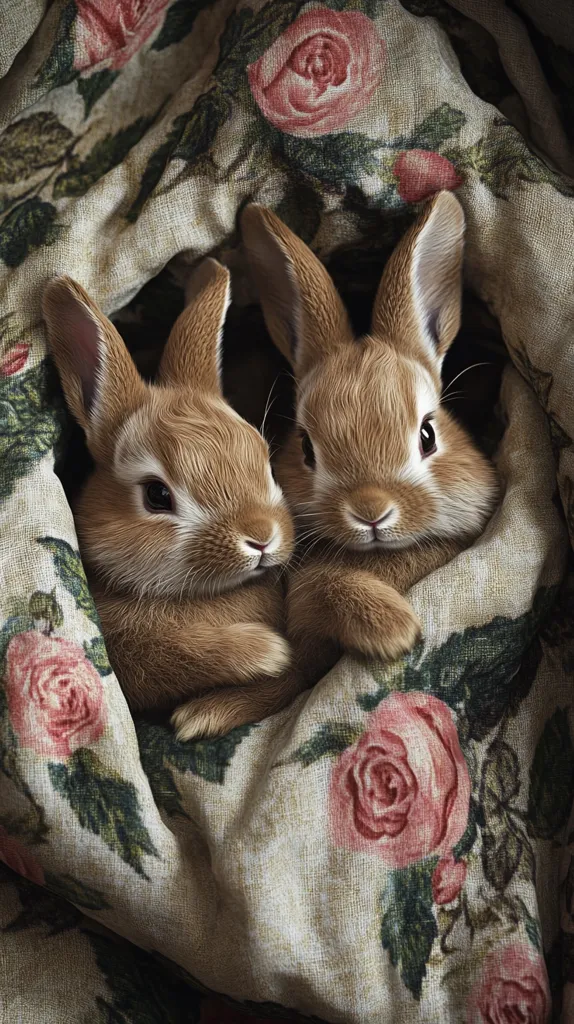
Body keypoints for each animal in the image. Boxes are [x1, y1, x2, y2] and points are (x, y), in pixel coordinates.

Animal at [42, 258, 302, 741]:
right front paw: (266, 651)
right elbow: (175, 657)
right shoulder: (130, 656)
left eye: (264, 458)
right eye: (157, 495)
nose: (261, 537)